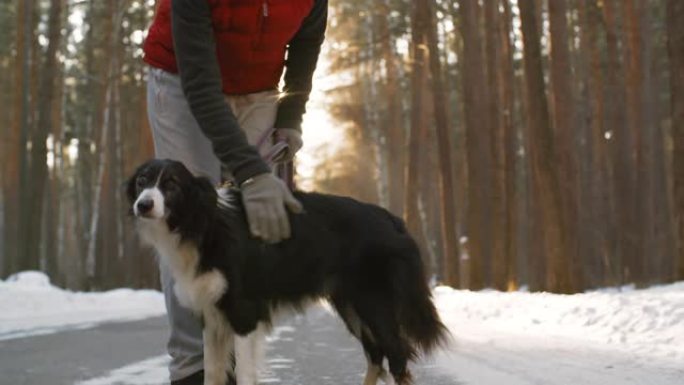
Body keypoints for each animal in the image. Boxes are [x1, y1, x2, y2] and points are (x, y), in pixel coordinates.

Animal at [127, 158, 448, 384]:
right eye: (142, 181)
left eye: (171, 184)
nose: (143, 205)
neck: (202, 224)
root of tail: (392, 218)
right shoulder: (212, 315)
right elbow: (213, 373)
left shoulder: (243, 313)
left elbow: (243, 373)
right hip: (351, 305)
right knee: (376, 355)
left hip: (374, 303)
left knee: (396, 355)